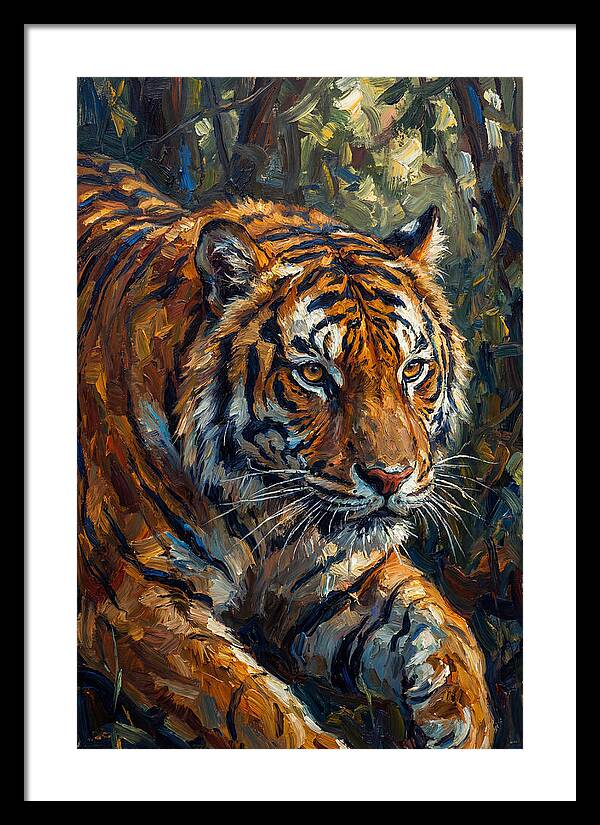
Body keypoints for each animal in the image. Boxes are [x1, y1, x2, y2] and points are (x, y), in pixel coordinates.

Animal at [77, 152, 493, 749]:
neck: (262, 515)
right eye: (314, 375)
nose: (391, 478)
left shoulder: (344, 579)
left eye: (413, 370)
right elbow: (254, 711)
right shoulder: (132, 601)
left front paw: (463, 727)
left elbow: (447, 634)